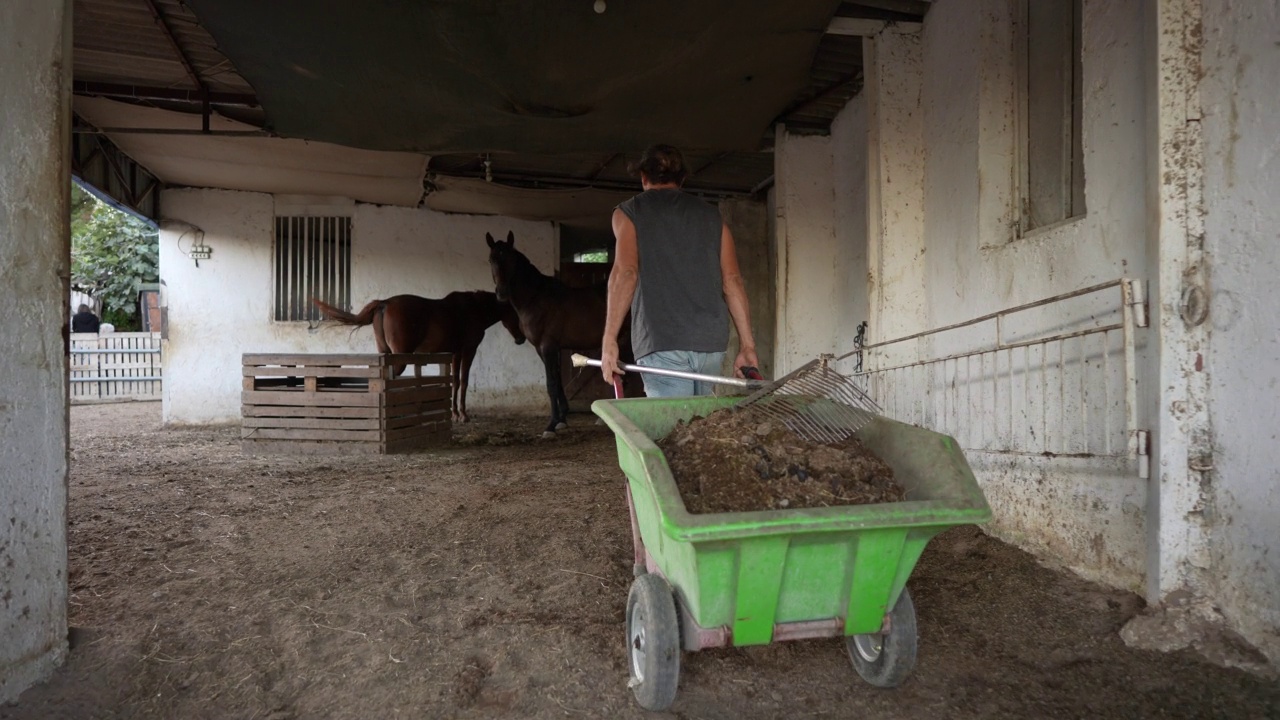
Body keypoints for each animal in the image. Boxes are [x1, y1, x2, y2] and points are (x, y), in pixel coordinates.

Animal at [309, 288, 524, 420]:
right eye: (516, 312)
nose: (521, 339)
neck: (473, 309)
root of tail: (384, 303)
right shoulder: (468, 350)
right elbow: (463, 381)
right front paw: (463, 415)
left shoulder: (454, 352)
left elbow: (454, 381)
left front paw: (455, 413)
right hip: (399, 357)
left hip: (385, 352)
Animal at [483, 229, 629, 430]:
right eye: (491, 259)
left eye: (510, 259)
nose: (502, 293)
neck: (535, 298)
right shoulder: (542, 348)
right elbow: (557, 380)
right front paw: (562, 418)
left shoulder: (548, 346)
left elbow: (551, 384)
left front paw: (551, 424)